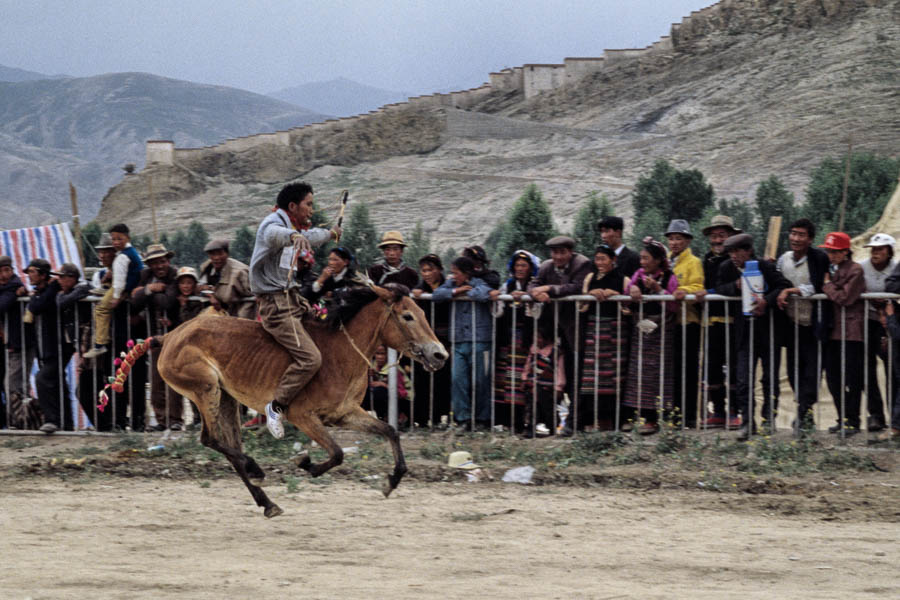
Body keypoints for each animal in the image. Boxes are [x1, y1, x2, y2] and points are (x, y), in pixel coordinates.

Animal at [149, 284, 448, 516]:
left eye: (423, 313)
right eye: (407, 316)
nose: (440, 355)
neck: (340, 353)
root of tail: (170, 335)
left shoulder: (345, 414)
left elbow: (390, 431)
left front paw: (391, 481)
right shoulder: (302, 416)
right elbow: (337, 452)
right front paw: (306, 464)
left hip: (226, 399)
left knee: (229, 448)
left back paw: (267, 503)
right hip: (205, 389)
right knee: (210, 439)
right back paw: (256, 469)